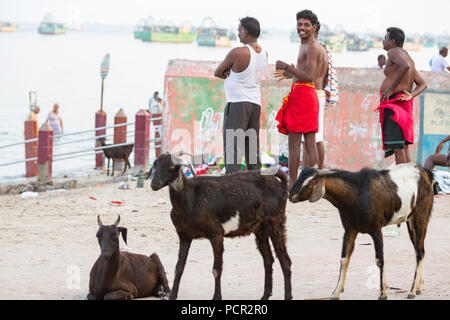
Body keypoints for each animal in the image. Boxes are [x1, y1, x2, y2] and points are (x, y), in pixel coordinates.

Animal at [146, 152, 294, 300]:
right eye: (155, 165)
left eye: (172, 166)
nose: (154, 184)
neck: (190, 198)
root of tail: (280, 183)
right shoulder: (184, 235)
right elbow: (179, 267)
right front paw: (172, 295)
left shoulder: (216, 233)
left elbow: (216, 269)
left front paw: (216, 297)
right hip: (260, 229)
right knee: (268, 260)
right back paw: (265, 295)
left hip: (275, 222)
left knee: (285, 260)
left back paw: (287, 295)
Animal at [286, 162, 434, 300]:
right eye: (299, 177)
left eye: (309, 183)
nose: (291, 195)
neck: (356, 193)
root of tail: (425, 172)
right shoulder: (350, 230)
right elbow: (344, 259)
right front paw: (335, 293)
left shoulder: (376, 230)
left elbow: (379, 260)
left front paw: (383, 293)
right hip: (410, 221)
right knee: (420, 251)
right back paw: (418, 288)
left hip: (421, 217)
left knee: (419, 253)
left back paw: (412, 291)